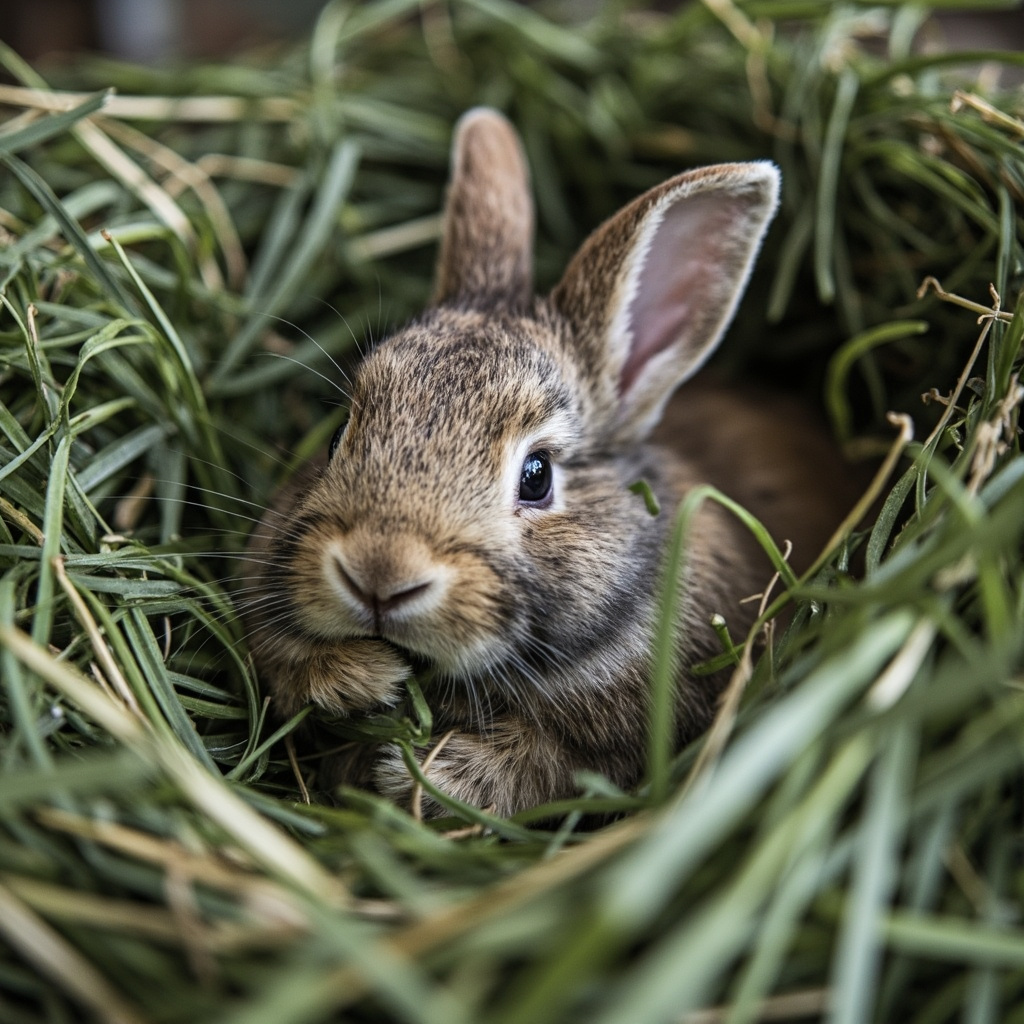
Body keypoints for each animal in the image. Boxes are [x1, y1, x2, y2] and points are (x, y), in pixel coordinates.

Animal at [243, 108, 857, 818]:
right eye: (343, 430)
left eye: (537, 476)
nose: (379, 575)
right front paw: (358, 677)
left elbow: (546, 770)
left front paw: (418, 773)